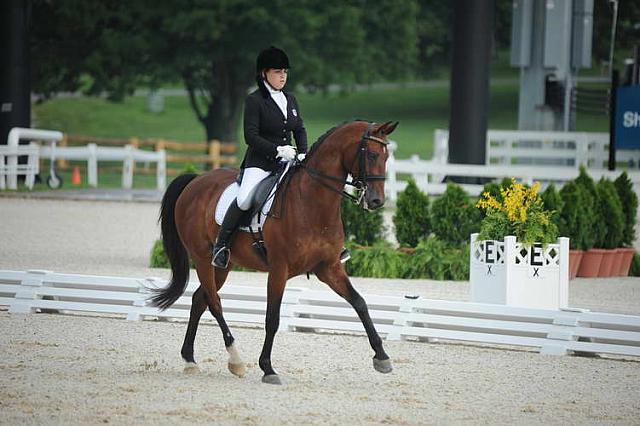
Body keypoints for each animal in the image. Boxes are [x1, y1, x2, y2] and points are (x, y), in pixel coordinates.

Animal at [151, 120, 398, 386]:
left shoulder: (329, 267)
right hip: (202, 259)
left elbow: (360, 303)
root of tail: (196, 181)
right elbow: (272, 318)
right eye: (371, 154)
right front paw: (267, 368)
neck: (311, 203)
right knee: (214, 303)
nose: (377, 201)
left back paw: (189, 360)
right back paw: (236, 361)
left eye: (387, 156)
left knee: (200, 299)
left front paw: (382, 357)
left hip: (223, 266)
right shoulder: (279, 270)